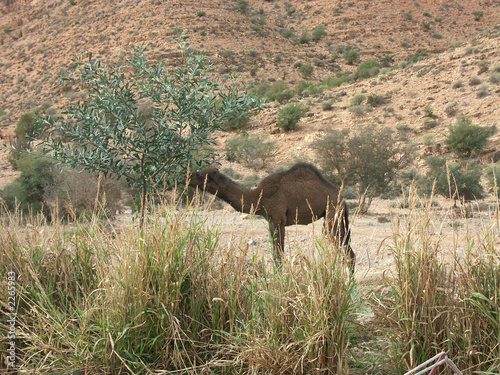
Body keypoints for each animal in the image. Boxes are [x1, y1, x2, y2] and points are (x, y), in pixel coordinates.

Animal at [188, 163, 356, 272]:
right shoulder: (270, 220)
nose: (188, 177)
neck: (258, 197)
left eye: (200, 175)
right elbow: (276, 253)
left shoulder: (278, 219)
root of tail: (343, 201)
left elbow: (278, 255)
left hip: (333, 216)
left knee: (347, 252)